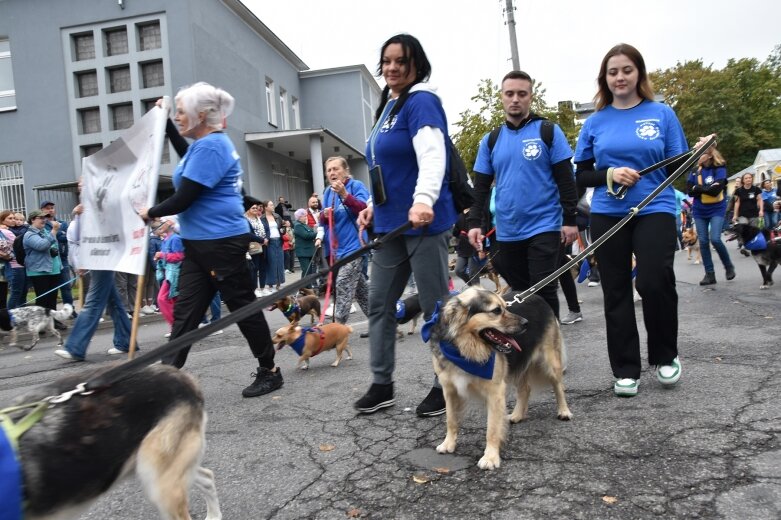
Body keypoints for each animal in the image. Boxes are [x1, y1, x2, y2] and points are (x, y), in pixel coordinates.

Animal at [430, 288, 568, 472]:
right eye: (496, 310)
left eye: (505, 307)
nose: (526, 323)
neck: (464, 351)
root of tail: (538, 296)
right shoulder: (450, 390)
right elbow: (451, 420)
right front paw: (448, 444)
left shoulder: (494, 392)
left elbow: (492, 429)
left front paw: (490, 457)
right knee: (525, 389)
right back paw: (517, 415)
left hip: (550, 361)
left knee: (558, 386)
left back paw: (564, 411)